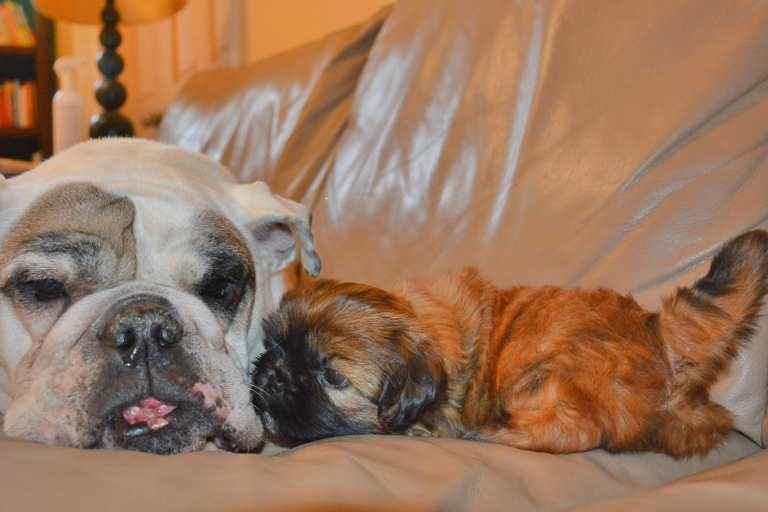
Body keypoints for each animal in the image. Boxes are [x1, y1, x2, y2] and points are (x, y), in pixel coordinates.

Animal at [252, 230, 768, 458]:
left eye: (332, 376)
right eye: (272, 345)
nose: (273, 376)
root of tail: (657, 334)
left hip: (543, 371)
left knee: (574, 431)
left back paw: (494, 435)